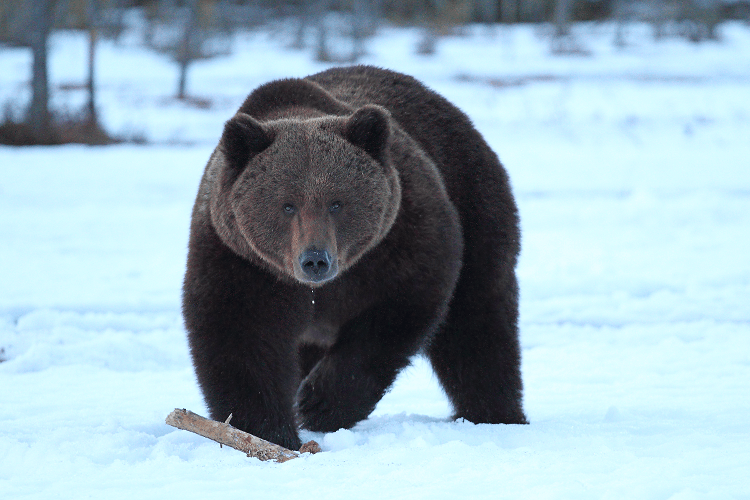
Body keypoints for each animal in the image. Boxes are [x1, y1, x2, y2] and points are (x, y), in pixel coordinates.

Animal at [184, 64, 528, 452]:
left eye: (337, 202)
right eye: (287, 205)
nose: (315, 260)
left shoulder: (400, 236)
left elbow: (398, 310)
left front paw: (319, 402)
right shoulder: (241, 259)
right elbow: (241, 335)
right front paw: (267, 432)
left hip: (475, 203)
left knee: (477, 324)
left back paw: (495, 415)